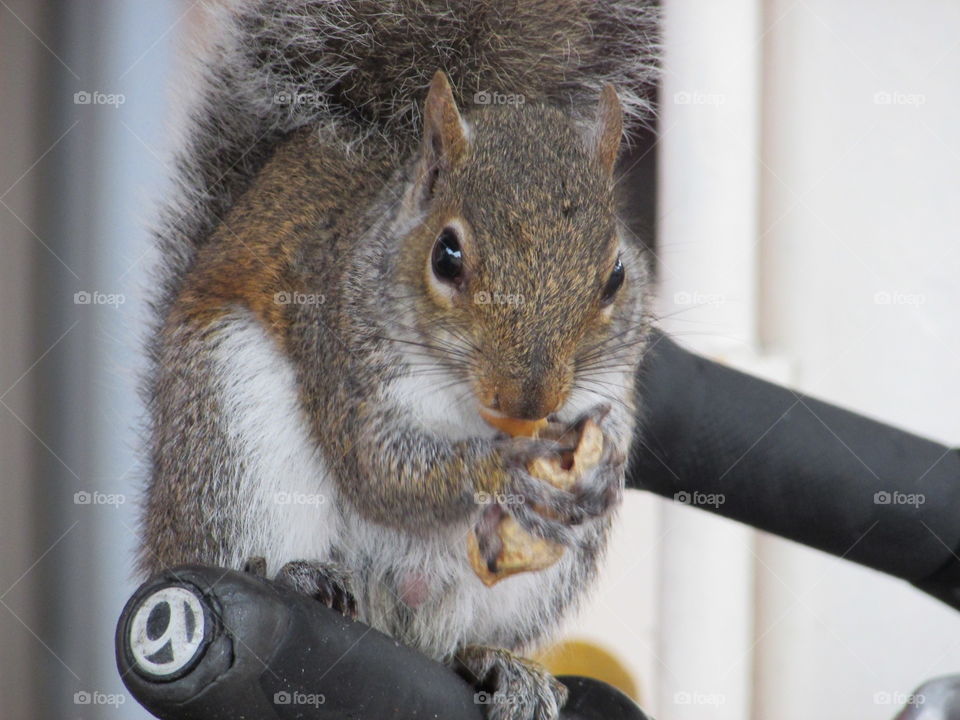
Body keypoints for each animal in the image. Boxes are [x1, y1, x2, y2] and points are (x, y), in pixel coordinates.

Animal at [139, 2, 659, 719]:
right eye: (447, 255)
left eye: (615, 276)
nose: (529, 400)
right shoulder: (344, 355)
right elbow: (382, 471)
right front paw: (504, 468)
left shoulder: (606, 390)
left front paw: (594, 474)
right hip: (232, 432)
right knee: (240, 546)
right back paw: (297, 573)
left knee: (454, 645)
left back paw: (500, 664)